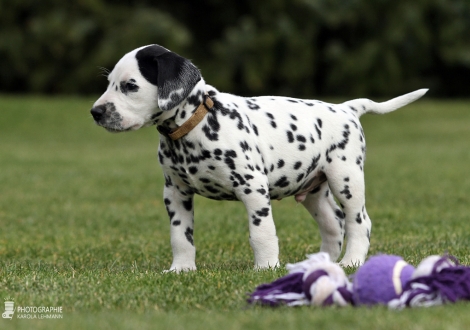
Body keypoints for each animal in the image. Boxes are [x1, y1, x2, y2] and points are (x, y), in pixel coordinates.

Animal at [90, 44, 428, 270]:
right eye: (108, 84)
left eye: (130, 86)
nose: (96, 112)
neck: (198, 123)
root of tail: (346, 108)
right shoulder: (175, 192)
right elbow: (180, 236)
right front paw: (181, 269)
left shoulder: (252, 188)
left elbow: (261, 233)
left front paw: (266, 268)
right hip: (314, 192)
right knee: (334, 224)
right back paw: (322, 265)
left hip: (346, 180)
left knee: (359, 223)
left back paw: (351, 262)